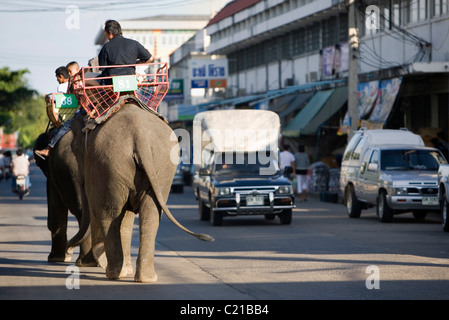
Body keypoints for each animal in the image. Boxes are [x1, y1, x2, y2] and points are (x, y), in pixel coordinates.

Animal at [33, 126, 96, 266]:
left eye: (38, 164)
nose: (69, 251)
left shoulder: (53, 176)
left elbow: (55, 209)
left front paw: (56, 259)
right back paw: (91, 262)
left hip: (69, 172)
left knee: (79, 211)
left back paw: (86, 262)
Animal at [67, 103, 213, 282]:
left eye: (74, 148)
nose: (69, 252)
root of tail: (140, 137)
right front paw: (124, 269)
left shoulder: (93, 169)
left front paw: (108, 261)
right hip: (160, 165)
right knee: (151, 214)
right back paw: (146, 278)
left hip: (109, 164)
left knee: (109, 214)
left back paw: (114, 274)